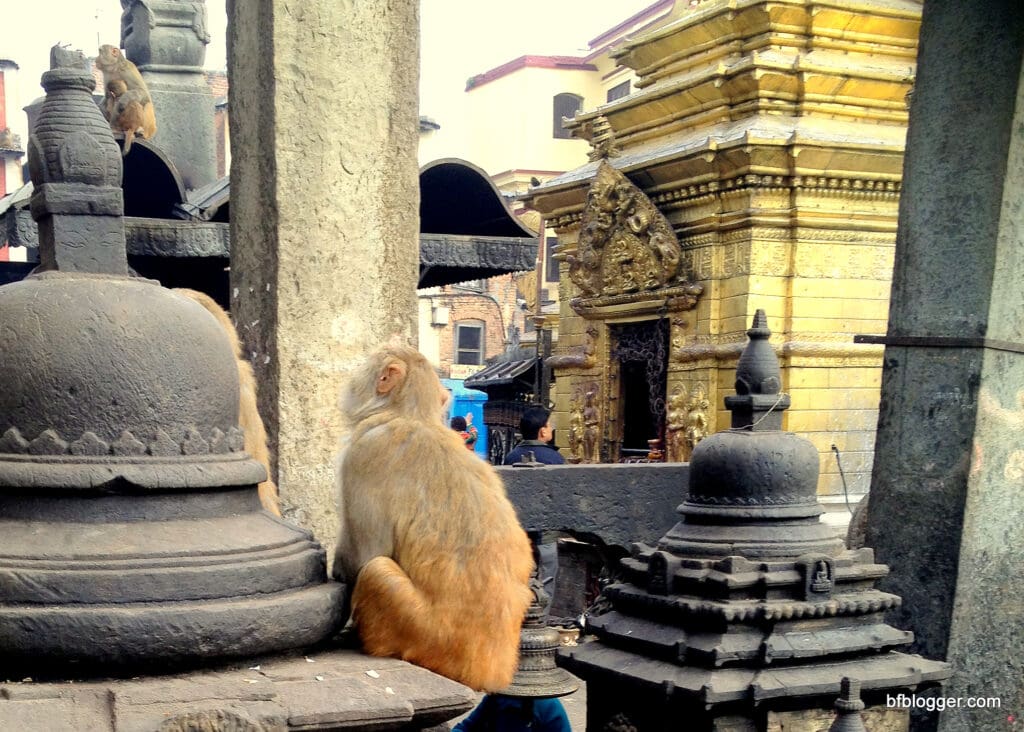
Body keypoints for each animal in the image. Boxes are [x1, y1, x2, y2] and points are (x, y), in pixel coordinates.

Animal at [334, 344, 534, 692]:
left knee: (377, 569)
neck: (412, 415)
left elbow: (367, 552)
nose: (352, 379)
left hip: (416, 630)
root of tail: (486, 673)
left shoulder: (366, 450)